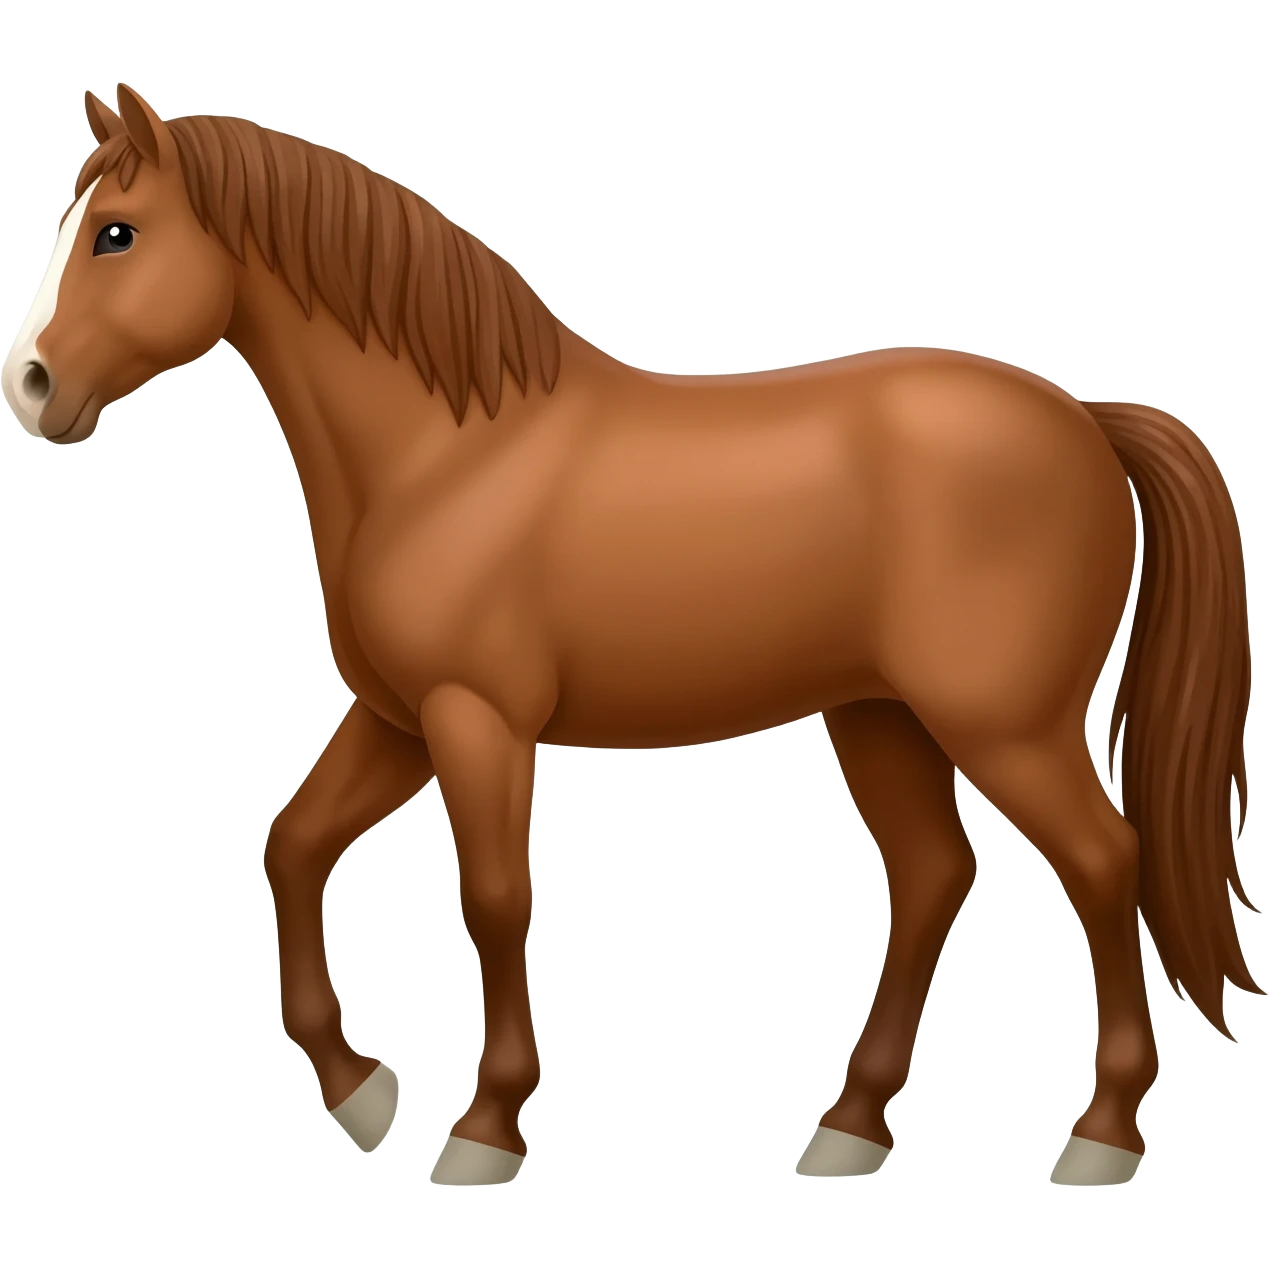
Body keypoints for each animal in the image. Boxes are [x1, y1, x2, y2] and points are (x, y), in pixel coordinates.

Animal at [2, 85, 1258, 1189]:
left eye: (116, 233)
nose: (30, 385)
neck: (445, 457)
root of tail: (1085, 420)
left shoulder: (478, 722)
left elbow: (495, 899)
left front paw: (485, 1130)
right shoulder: (399, 719)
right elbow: (294, 846)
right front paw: (361, 1091)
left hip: (1005, 724)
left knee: (1106, 863)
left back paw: (1100, 1137)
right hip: (880, 715)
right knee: (935, 876)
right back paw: (850, 1126)